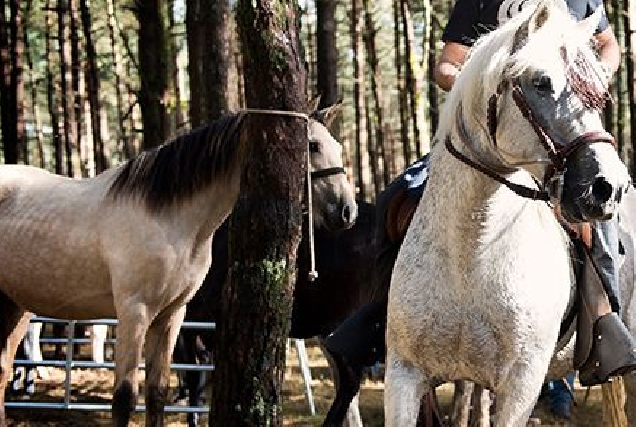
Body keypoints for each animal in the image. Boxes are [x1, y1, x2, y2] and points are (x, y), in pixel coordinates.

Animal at [0, 105, 358, 426]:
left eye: (338, 146)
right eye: (312, 146)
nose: (347, 211)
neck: (169, 216)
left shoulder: (172, 314)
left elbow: (157, 393)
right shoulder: (134, 312)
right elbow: (124, 398)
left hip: (16, 307)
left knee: (2, 371)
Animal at [382, 1, 632, 426]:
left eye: (598, 91)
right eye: (541, 83)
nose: (609, 186)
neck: (470, 255)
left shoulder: (520, 387)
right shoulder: (404, 374)